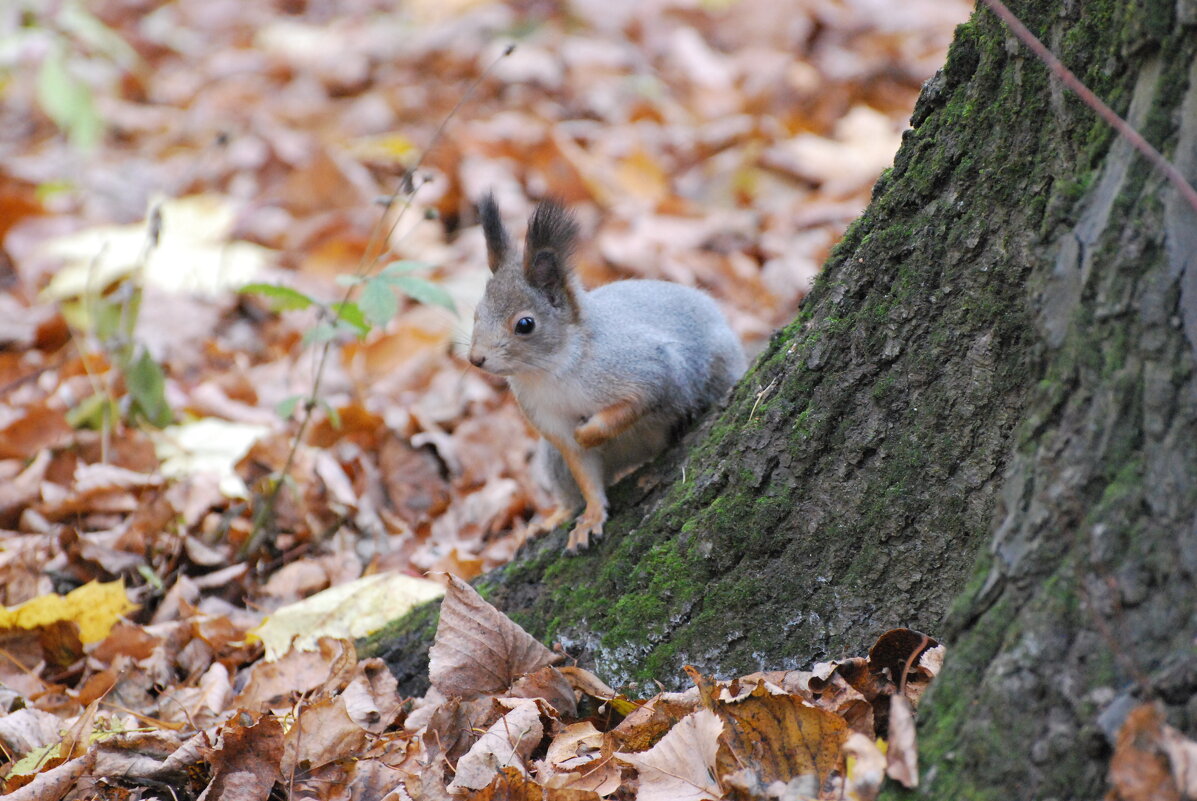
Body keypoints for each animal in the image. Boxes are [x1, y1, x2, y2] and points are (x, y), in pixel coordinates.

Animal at [469, 196, 742, 553]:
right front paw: (592, 516)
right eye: (476, 314)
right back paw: (553, 519)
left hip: (718, 366)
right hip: (552, 459)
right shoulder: (549, 422)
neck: (551, 372)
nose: (476, 358)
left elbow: (633, 405)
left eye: (525, 324)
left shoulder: (651, 369)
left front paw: (589, 432)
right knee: (569, 491)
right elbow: (584, 471)